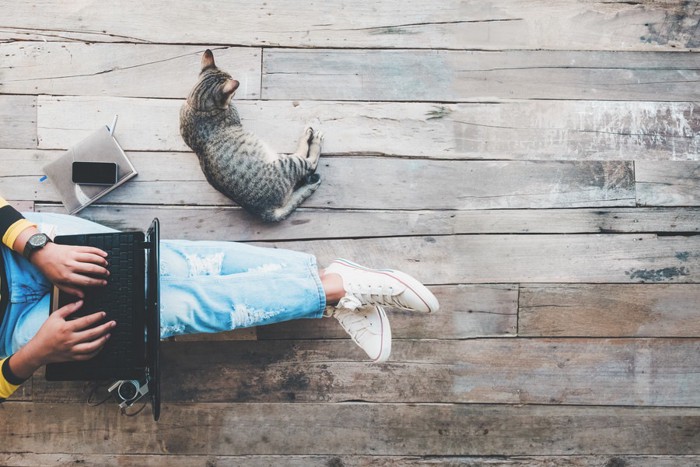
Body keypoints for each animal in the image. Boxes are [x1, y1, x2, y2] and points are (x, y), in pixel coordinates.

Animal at [180, 49, 322, 223]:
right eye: (232, 93)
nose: (234, 94)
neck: (197, 106)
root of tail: (263, 211)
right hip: (286, 163)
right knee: (309, 162)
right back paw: (312, 138)